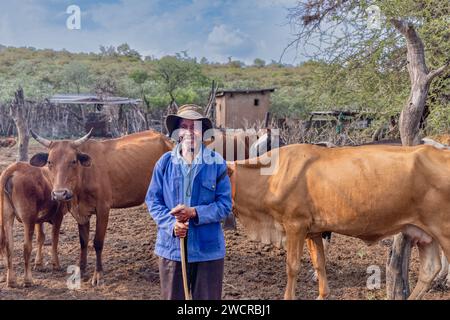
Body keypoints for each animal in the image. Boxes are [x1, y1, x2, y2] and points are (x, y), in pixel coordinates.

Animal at [28, 129, 174, 286]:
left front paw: (98, 275)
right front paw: (81, 270)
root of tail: (165, 138)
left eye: (73, 161)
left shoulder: (103, 209)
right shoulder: (80, 212)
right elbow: (83, 242)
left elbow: (97, 242)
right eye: (50, 162)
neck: (83, 178)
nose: (60, 193)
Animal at [229, 144, 450, 298]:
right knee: (430, 269)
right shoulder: (313, 231)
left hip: (444, 232)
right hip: (425, 234)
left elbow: (292, 266)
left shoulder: (295, 225)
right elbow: (319, 264)